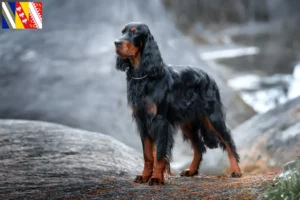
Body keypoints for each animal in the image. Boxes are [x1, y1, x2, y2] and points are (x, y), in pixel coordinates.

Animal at [113, 22, 243, 186]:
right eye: (122, 32)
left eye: (134, 32)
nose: (116, 42)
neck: (143, 77)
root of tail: (208, 76)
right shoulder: (141, 120)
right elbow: (148, 154)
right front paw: (144, 176)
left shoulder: (160, 120)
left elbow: (159, 153)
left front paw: (156, 178)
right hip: (187, 123)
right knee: (199, 147)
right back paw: (192, 170)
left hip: (213, 116)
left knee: (228, 141)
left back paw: (236, 170)